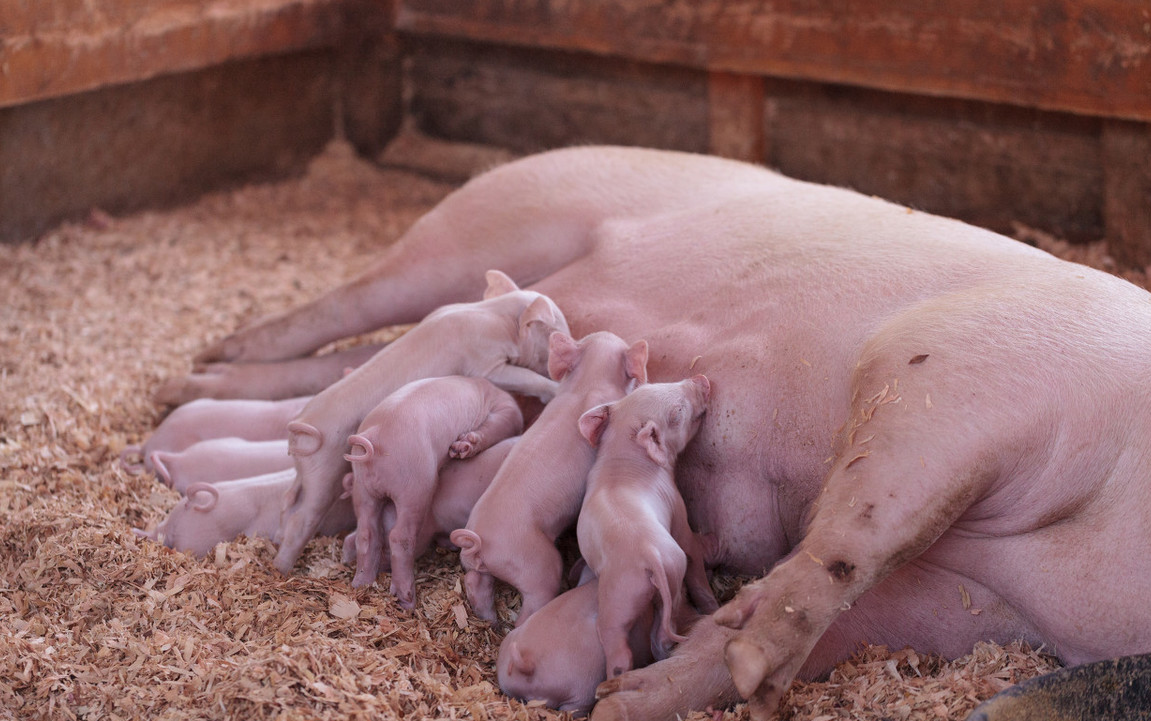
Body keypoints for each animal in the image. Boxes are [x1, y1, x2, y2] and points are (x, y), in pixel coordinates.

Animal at [168, 143, 1151, 714]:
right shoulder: (958, 372)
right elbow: (856, 534)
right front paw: (752, 661)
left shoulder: (968, 604)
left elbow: (833, 605)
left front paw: (652, 693)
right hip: (479, 226)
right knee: (341, 306)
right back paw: (202, 360)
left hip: (457, 314)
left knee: (351, 364)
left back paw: (199, 383)